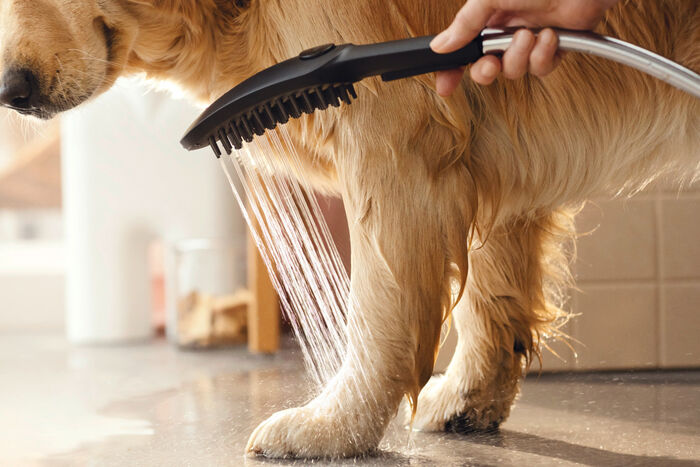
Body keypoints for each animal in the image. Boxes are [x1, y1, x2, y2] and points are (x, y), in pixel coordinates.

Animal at [0, 0, 696, 460]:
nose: (12, 89)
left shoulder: (392, 131)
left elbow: (380, 313)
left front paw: (333, 427)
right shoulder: (492, 150)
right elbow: (491, 292)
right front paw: (470, 396)